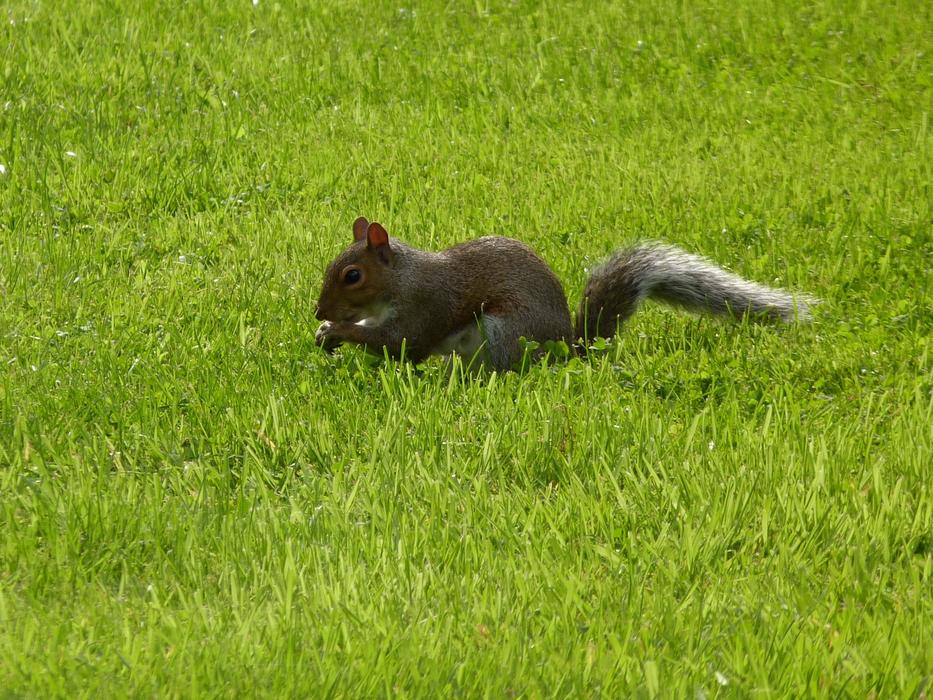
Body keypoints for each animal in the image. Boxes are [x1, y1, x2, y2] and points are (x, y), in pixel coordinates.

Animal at [314, 217, 815, 371]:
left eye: (352, 275)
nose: (318, 310)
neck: (403, 279)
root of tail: (571, 349)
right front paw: (327, 334)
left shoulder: (425, 307)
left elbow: (398, 343)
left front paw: (337, 329)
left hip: (504, 330)